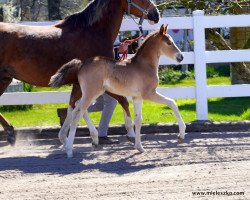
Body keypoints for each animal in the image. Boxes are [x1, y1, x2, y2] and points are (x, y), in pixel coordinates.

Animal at [0, 0, 160, 145]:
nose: (156, 14)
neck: (92, 32)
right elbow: (121, 101)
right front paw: (130, 134)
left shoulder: (81, 83)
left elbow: (75, 106)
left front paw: (71, 137)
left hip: (5, 78)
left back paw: (11, 133)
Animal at [49, 24, 186, 157]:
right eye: (169, 43)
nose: (181, 57)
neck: (144, 66)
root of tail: (81, 65)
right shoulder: (149, 93)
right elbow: (172, 103)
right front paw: (181, 135)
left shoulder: (137, 97)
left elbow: (138, 120)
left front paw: (139, 147)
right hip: (91, 93)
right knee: (77, 114)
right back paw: (69, 149)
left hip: (87, 93)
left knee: (76, 108)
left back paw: (86, 139)